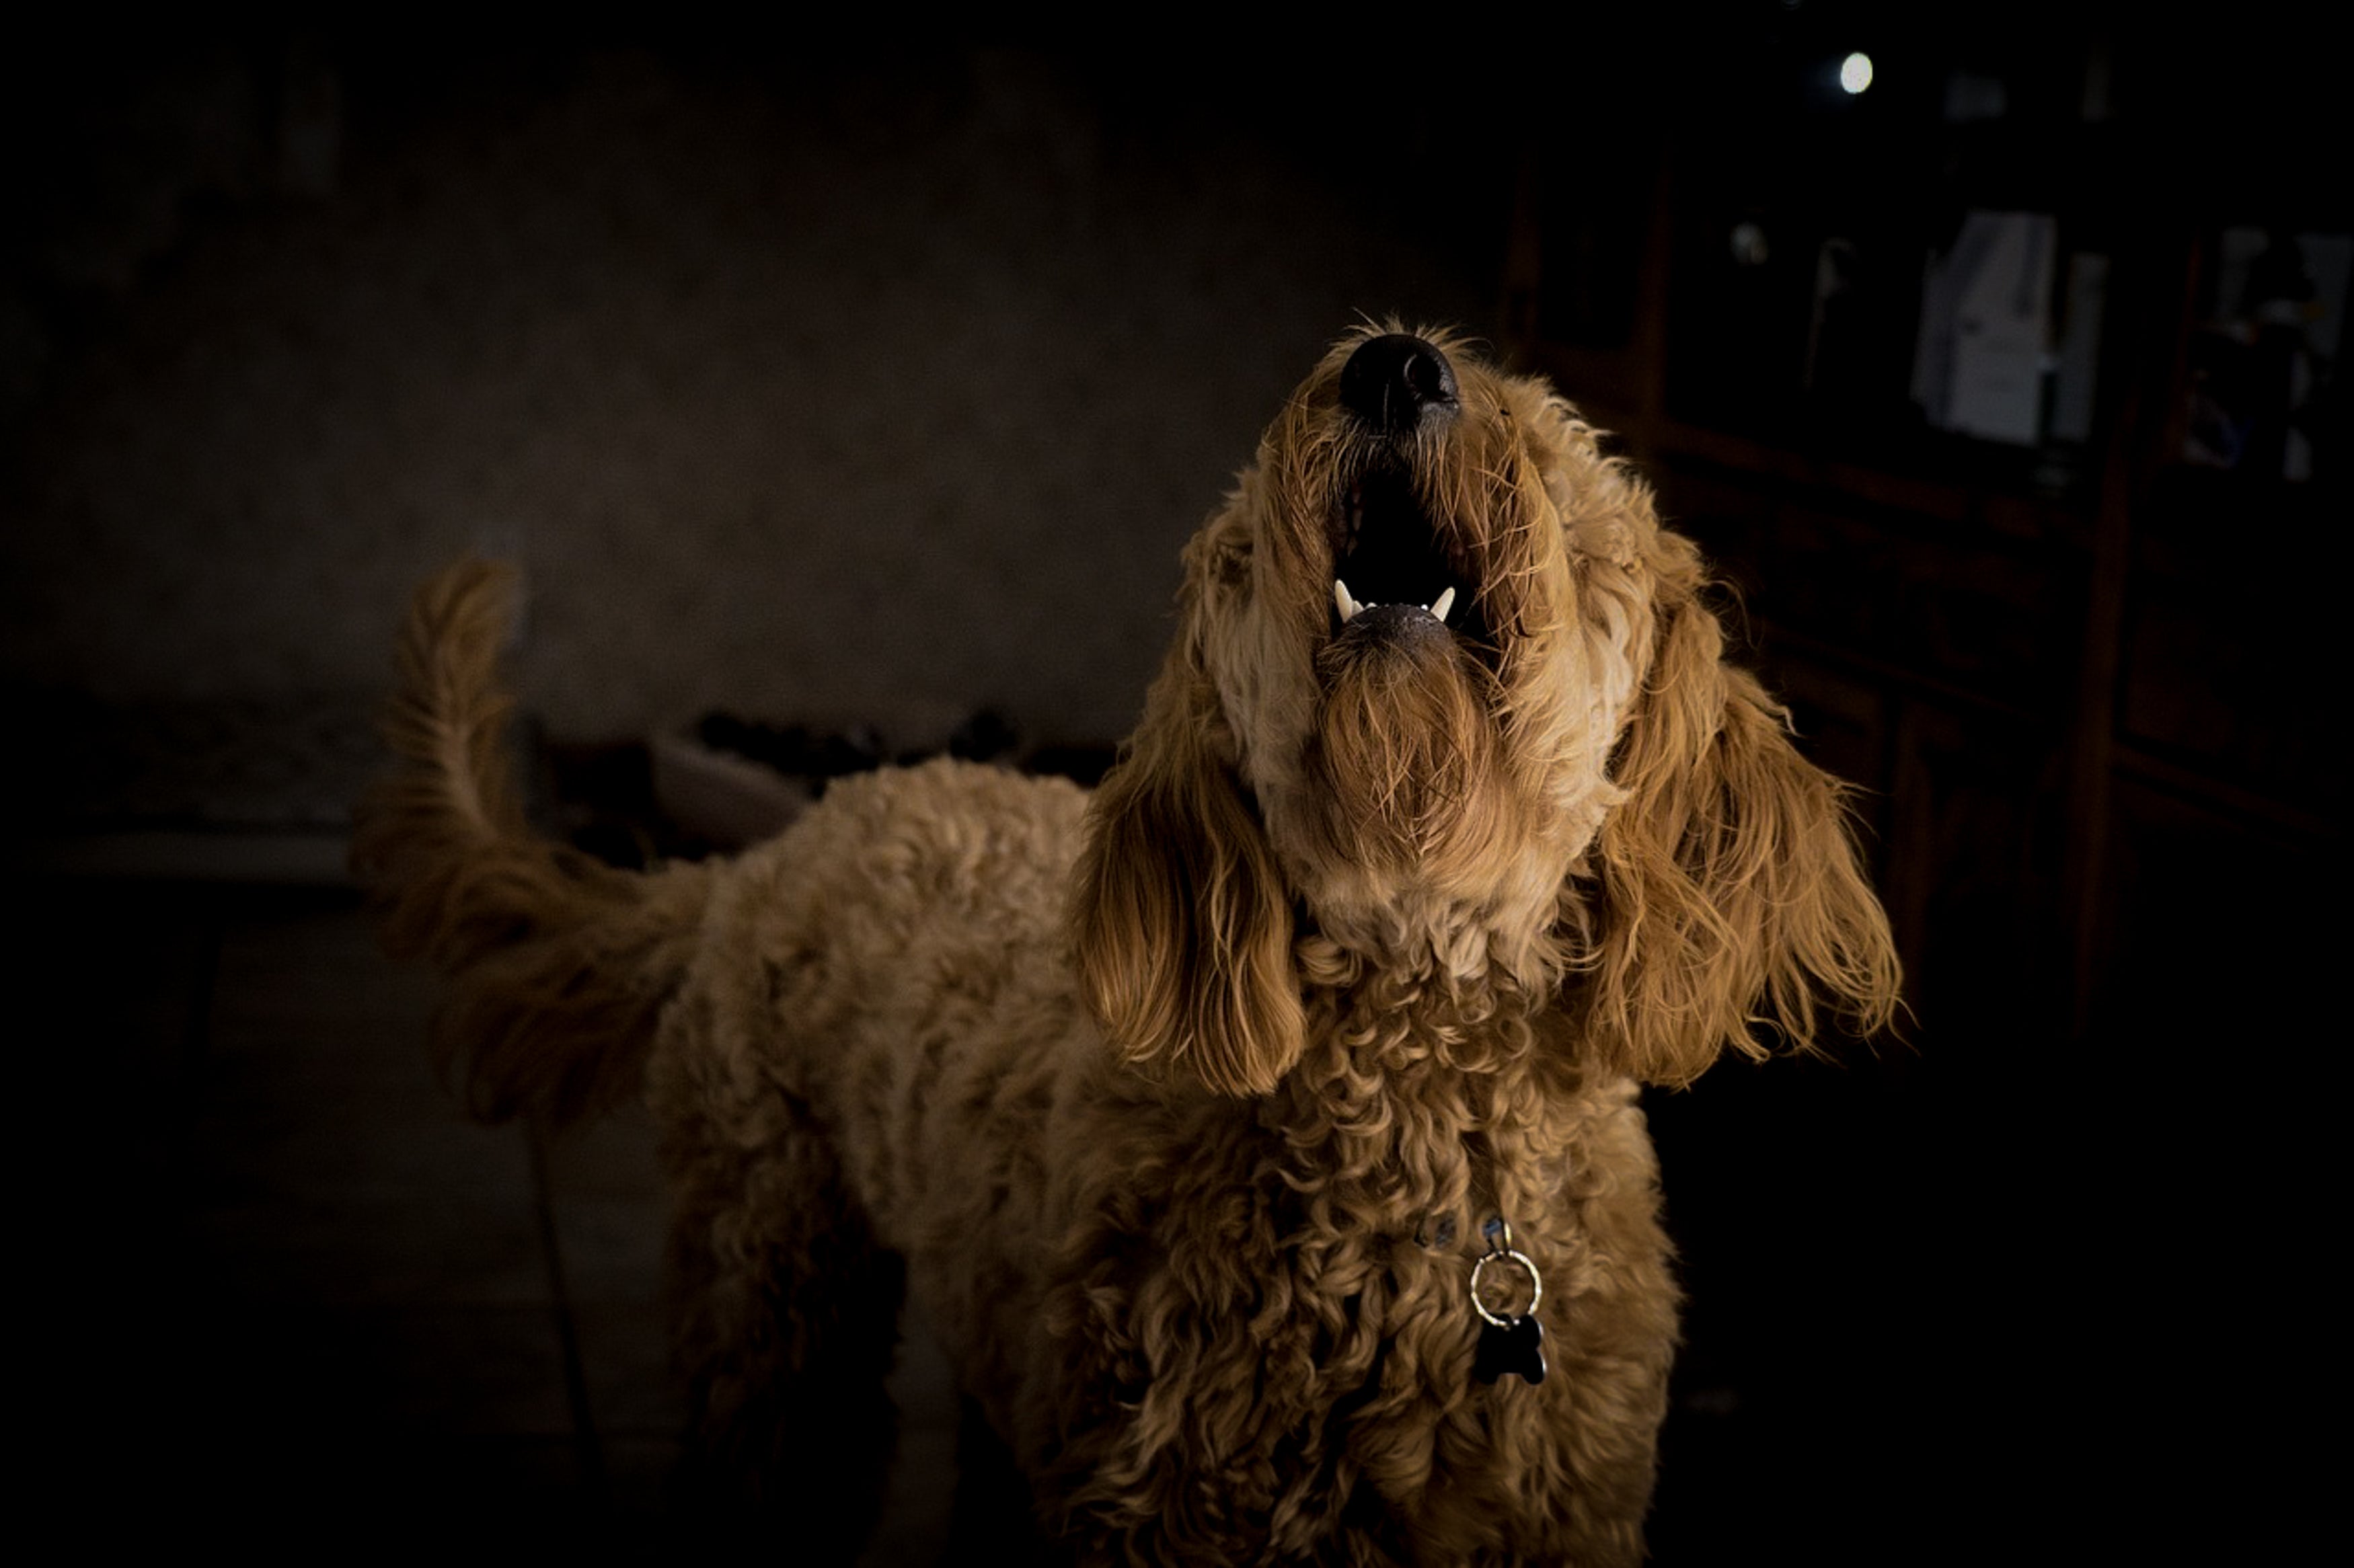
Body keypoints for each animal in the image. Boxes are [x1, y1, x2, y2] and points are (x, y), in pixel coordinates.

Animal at [353, 322, 1893, 1553]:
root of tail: (772, 849)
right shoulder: (1161, 1504)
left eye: (1559, 465)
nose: (1396, 364)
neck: (1415, 1108)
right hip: (776, 1295)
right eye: (1244, 547)